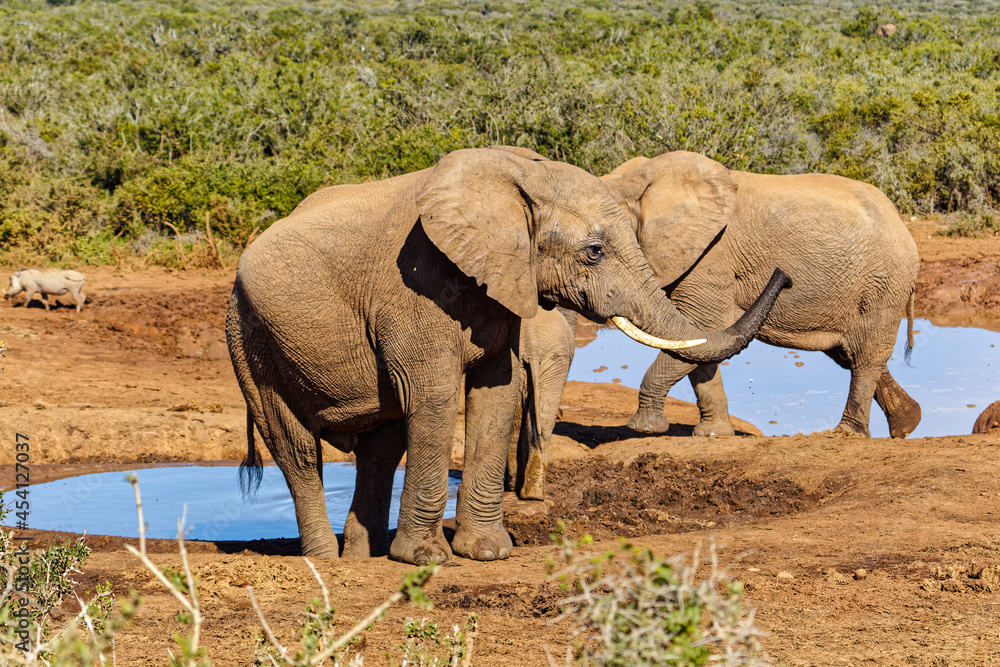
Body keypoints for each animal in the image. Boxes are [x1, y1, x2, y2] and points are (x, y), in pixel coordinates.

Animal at [226, 147, 792, 564]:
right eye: (594, 252)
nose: (784, 277)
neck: (518, 175)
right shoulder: (412, 289)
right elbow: (432, 397)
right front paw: (427, 560)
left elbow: (497, 393)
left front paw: (487, 552)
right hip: (250, 339)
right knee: (297, 448)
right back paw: (324, 560)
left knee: (380, 445)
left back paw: (361, 558)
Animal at [599, 151, 920, 439]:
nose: (785, 277)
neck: (635, 181)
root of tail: (901, 223)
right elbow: (700, 340)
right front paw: (713, 435)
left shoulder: (711, 256)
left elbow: (702, 326)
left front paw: (644, 429)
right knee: (850, 353)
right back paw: (907, 424)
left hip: (884, 283)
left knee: (866, 356)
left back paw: (847, 434)